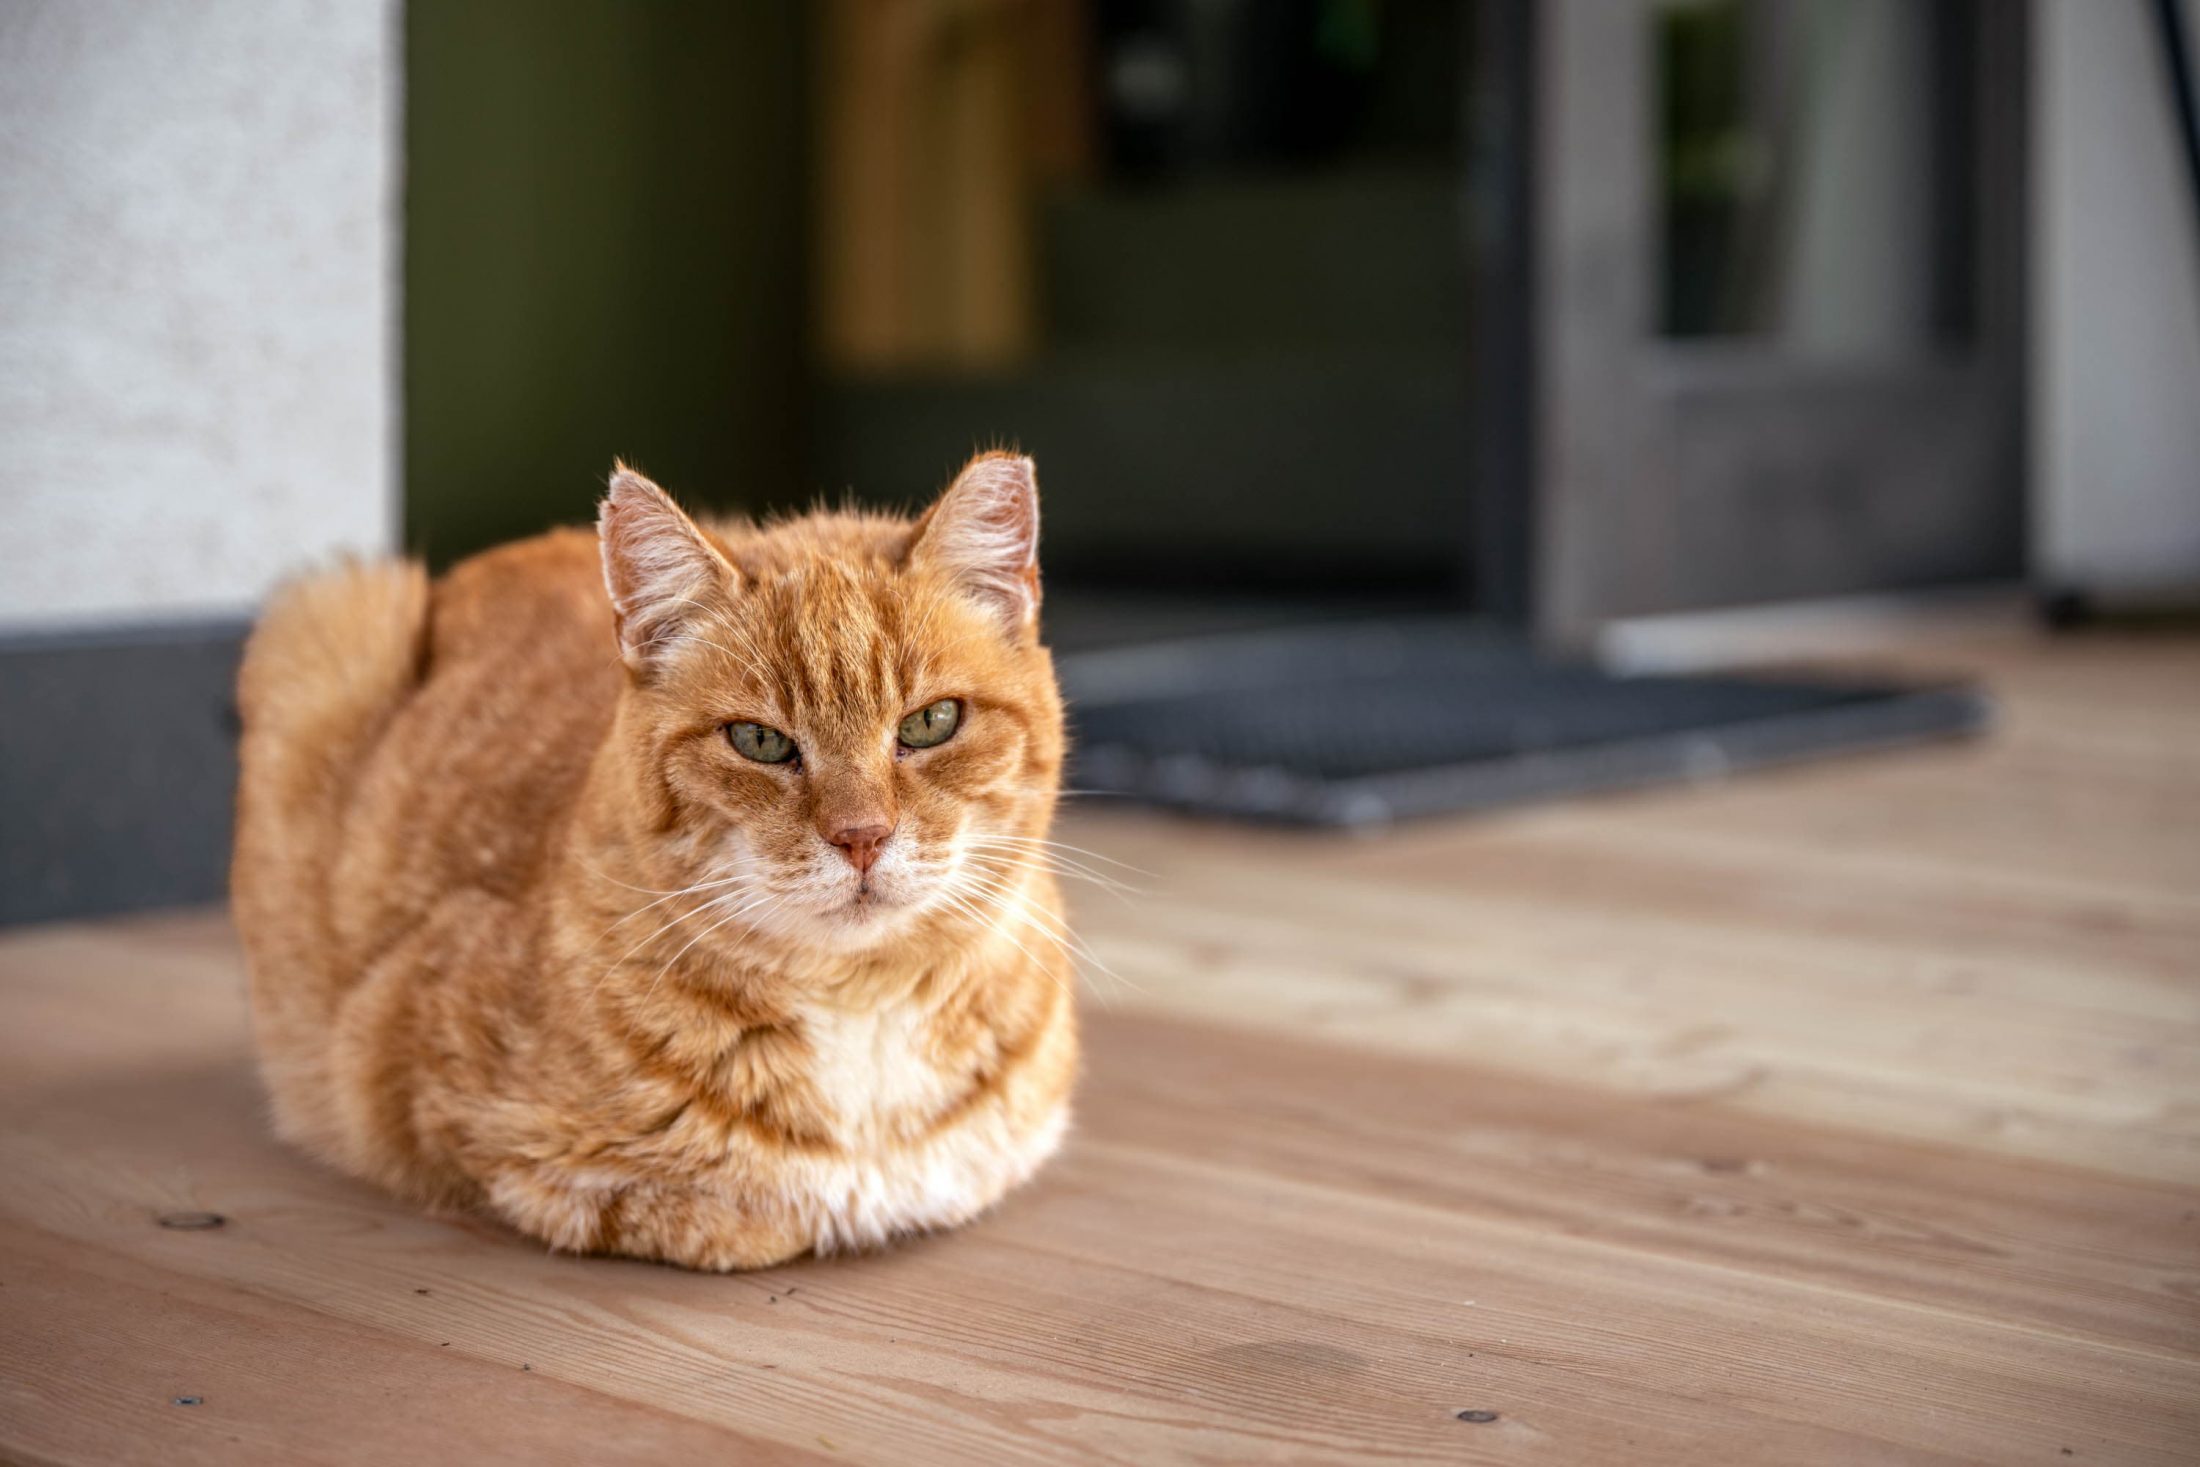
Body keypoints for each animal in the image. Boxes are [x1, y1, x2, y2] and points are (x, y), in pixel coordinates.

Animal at [232, 453, 1073, 1266]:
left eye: (932, 722)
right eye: (759, 740)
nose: (861, 835)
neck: (861, 1005)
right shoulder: (425, 1093)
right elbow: (738, 1211)